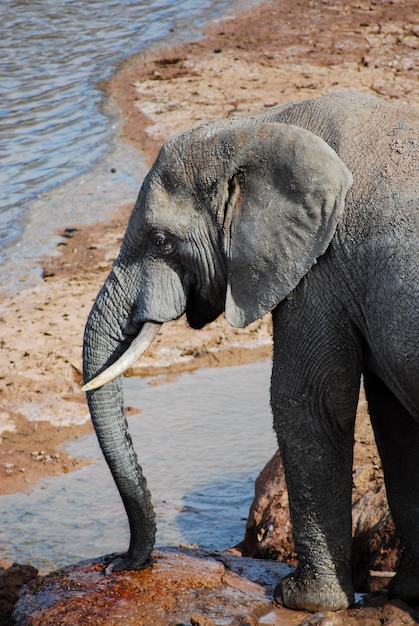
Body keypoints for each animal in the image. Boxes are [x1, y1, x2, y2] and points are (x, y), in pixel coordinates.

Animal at [82, 91, 419, 608]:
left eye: (161, 241)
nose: (118, 564)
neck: (258, 127)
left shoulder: (322, 265)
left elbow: (308, 402)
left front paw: (300, 599)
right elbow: (393, 419)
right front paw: (406, 594)